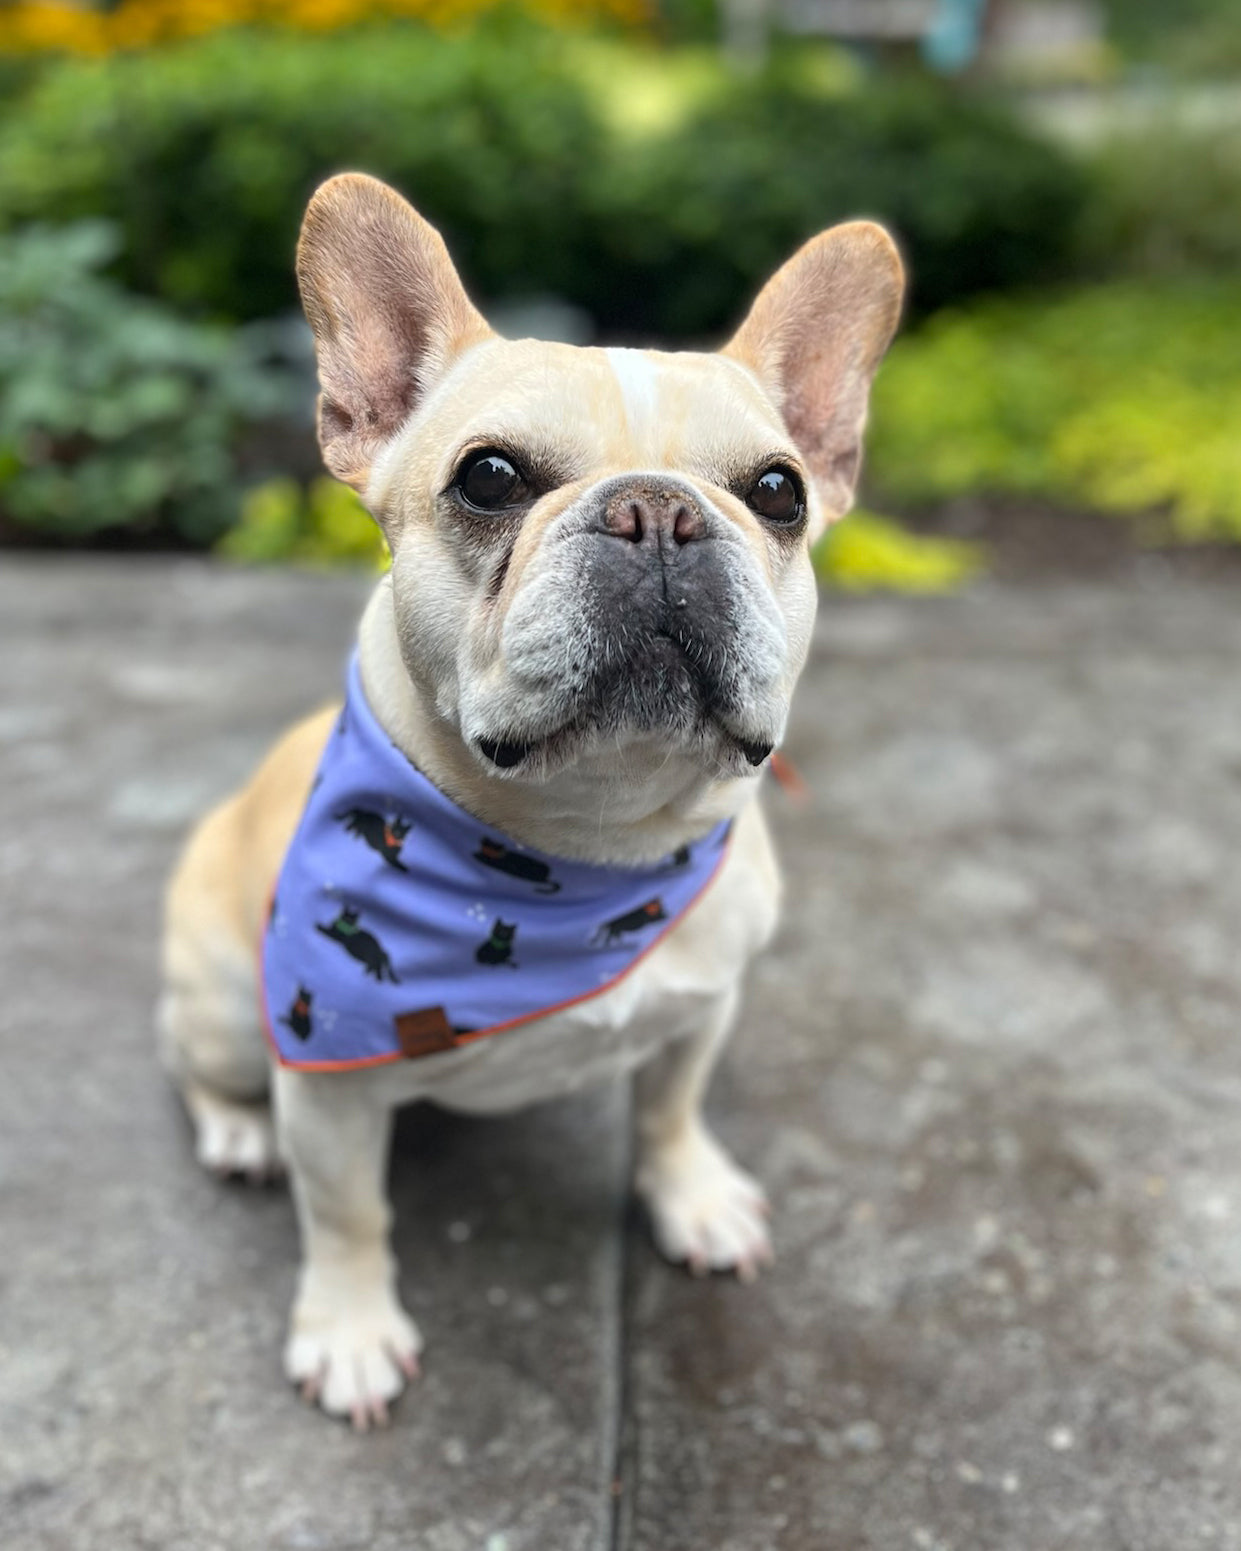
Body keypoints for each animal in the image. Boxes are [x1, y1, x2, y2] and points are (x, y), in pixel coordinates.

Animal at [157, 172, 899, 1426]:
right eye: (489, 478)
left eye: (778, 491)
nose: (659, 512)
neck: (582, 853)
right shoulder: (329, 1089)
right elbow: (347, 1212)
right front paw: (348, 1331)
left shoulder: (702, 1009)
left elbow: (670, 1111)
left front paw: (691, 1199)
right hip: (223, 1004)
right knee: (197, 1067)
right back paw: (239, 1136)